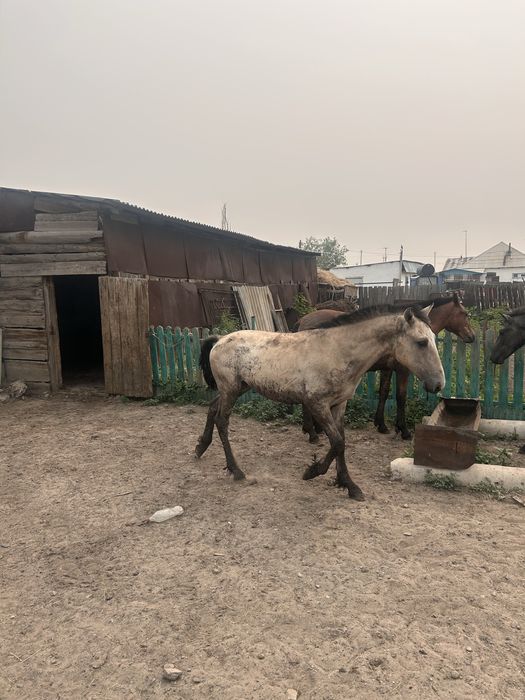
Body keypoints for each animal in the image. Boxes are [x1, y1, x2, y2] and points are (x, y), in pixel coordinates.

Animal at [195, 305, 445, 501]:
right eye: (421, 342)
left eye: (433, 340)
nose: (438, 384)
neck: (338, 351)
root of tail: (218, 340)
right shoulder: (317, 404)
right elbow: (337, 442)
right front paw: (313, 471)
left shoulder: (339, 404)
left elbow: (341, 441)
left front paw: (349, 485)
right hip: (231, 389)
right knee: (222, 420)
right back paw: (236, 470)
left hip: (238, 388)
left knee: (212, 408)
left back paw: (200, 447)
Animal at [297, 292, 475, 442]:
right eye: (465, 314)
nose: (472, 336)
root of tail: (303, 320)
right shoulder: (403, 371)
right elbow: (400, 397)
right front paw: (403, 430)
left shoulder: (387, 369)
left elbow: (383, 392)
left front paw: (381, 424)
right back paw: (312, 433)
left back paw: (315, 429)